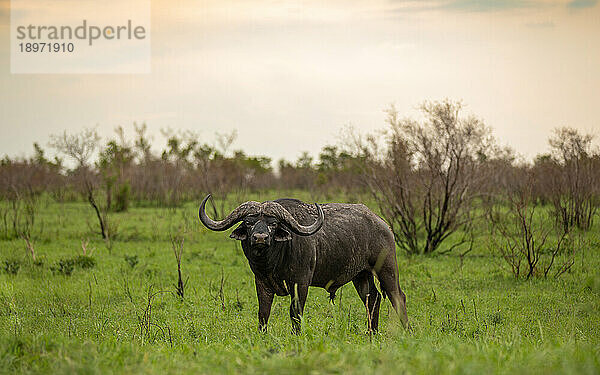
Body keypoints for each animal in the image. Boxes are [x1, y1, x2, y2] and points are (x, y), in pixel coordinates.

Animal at [199, 195, 410, 334]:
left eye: (273, 223)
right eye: (249, 222)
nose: (260, 238)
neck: (272, 263)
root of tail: (383, 224)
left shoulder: (300, 283)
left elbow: (295, 311)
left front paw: (296, 335)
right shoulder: (261, 282)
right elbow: (263, 312)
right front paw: (262, 335)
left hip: (387, 269)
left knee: (397, 296)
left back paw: (407, 331)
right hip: (361, 276)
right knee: (372, 298)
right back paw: (372, 333)